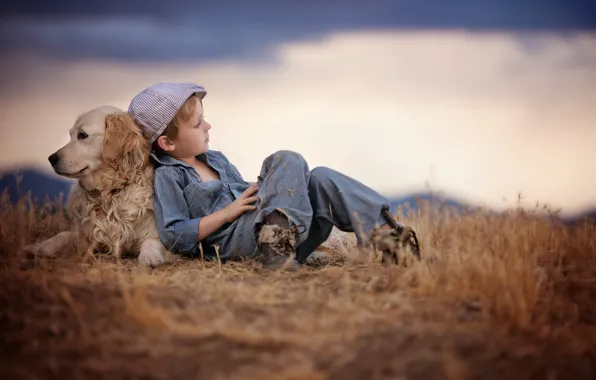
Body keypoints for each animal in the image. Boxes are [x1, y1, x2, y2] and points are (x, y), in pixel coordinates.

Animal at [25, 105, 175, 268]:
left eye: (82, 135)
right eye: (71, 135)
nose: (51, 158)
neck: (109, 192)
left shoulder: (157, 234)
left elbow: (151, 242)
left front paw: (150, 257)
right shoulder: (87, 237)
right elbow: (63, 235)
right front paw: (41, 246)